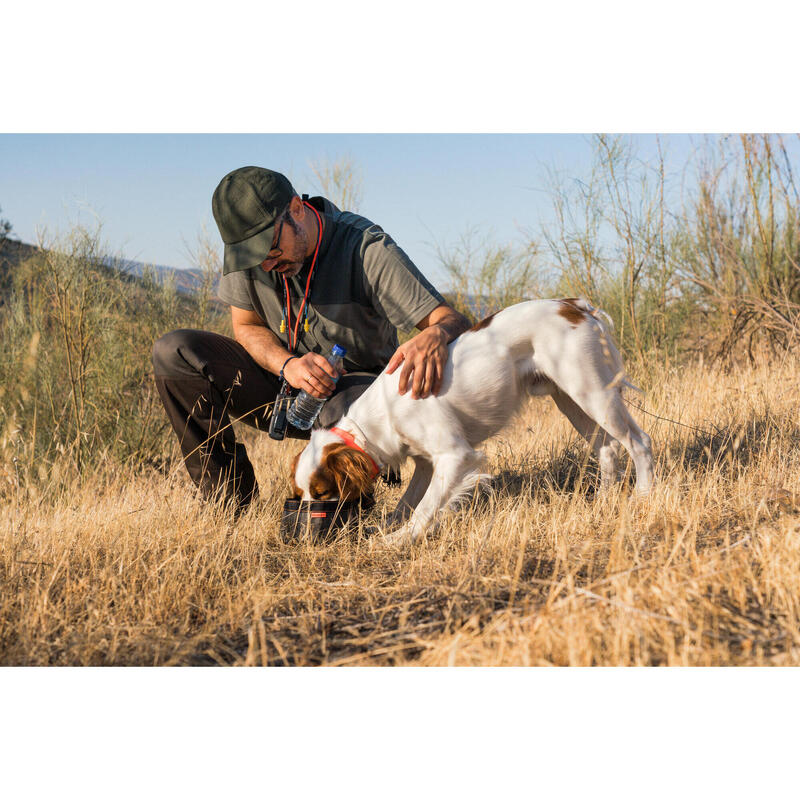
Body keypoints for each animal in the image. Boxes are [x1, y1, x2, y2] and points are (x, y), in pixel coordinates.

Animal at [290, 300, 652, 544]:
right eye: (300, 493)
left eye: (323, 493)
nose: (306, 529)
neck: (381, 414)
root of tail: (575, 305)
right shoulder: (426, 463)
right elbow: (409, 502)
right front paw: (390, 527)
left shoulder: (456, 455)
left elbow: (425, 507)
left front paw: (398, 540)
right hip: (572, 402)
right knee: (607, 448)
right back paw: (603, 501)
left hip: (593, 393)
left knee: (639, 442)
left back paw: (644, 496)